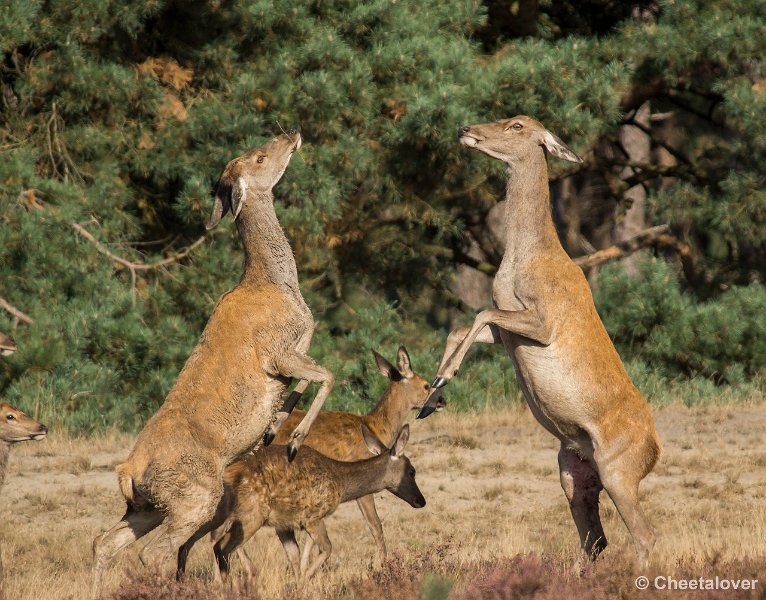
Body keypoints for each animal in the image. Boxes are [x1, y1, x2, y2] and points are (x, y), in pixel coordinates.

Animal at [91, 130, 336, 596]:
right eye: (259, 157)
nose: (291, 134)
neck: (278, 285)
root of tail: (128, 471)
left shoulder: (296, 350)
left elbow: (303, 386)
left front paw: (276, 428)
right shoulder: (277, 351)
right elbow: (329, 374)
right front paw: (295, 441)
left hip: (148, 505)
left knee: (104, 542)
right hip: (194, 495)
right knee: (154, 552)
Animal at [212, 422, 426, 580]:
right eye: (412, 471)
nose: (421, 501)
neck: (340, 481)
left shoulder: (284, 523)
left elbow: (296, 555)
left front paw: (298, 581)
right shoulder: (313, 515)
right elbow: (327, 548)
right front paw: (307, 577)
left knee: (216, 541)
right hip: (253, 511)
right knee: (222, 547)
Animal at [416, 116, 664, 568]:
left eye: (516, 125)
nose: (465, 129)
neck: (521, 261)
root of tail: (655, 452)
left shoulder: (544, 322)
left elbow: (479, 314)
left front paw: (442, 380)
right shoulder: (508, 328)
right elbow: (462, 326)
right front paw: (429, 398)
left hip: (619, 469)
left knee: (644, 536)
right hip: (573, 470)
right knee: (595, 540)